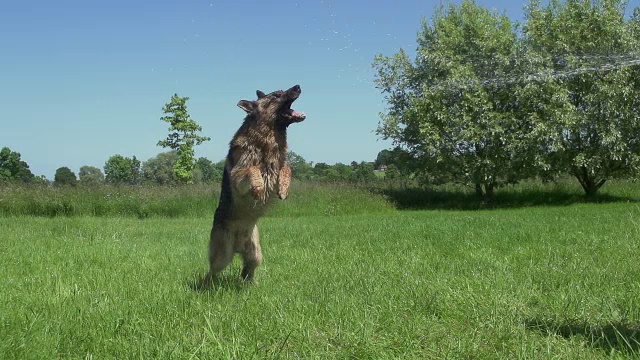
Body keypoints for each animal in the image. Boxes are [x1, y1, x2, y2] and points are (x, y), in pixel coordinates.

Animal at [204, 83, 306, 284]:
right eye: (277, 95)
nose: (298, 86)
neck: (267, 140)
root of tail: (238, 246)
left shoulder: (281, 163)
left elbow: (287, 169)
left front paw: (284, 187)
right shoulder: (238, 175)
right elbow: (252, 170)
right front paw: (258, 188)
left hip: (256, 253)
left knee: (248, 268)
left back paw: (251, 283)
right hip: (222, 256)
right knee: (213, 270)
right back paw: (207, 284)